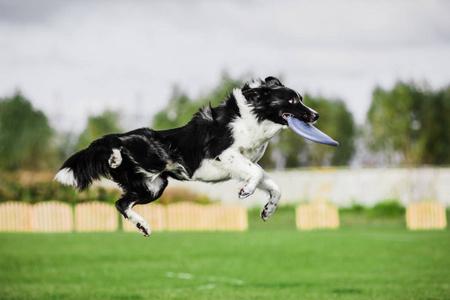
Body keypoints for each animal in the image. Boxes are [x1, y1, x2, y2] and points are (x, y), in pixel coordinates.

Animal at [54, 76, 320, 236]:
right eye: (292, 100)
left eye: (300, 99)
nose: (315, 115)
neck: (254, 119)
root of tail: (120, 136)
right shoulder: (225, 154)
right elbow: (257, 173)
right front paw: (246, 191)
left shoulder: (241, 163)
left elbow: (273, 184)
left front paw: (268, 210)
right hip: (146, 171)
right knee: (119, 186)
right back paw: (115, 158)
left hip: (154, 186)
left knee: (121, 203)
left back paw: (143, 225)